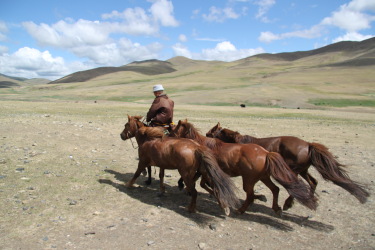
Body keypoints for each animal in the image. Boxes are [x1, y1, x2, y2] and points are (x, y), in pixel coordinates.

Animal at [172, 119, 318, 215]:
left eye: (175, 130)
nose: (169, 135)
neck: (202, 145)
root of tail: (266, 153)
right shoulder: (205, 172)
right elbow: (204, 184)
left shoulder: (206, 172)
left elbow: (205, 184)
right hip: (264, 177)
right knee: (275, 189)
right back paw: (276, 207)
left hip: (249, 179)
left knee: (250, 194)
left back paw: (241, 209)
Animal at [206, 123, 370, 209]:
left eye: (210, 133)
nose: (206, 137)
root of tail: (308, 145)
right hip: (303, 170)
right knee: (312, 182)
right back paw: (304, 200)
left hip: (294, 170)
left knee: (297, 184)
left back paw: (287, 204)